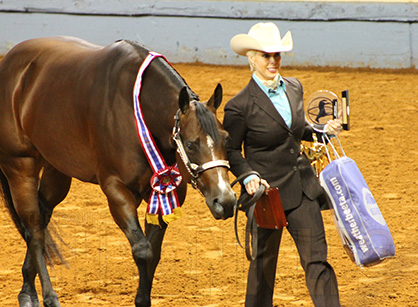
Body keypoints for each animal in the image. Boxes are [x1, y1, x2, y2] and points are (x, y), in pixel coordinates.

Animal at [0, 38, 237, 307]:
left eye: (227, 139)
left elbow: (153, 252)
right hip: (20, 166)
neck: (137, 111)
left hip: (55, 169)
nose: (226, 201)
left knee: (42, 217)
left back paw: (27, 291)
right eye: (190, 144)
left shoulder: (164, 192)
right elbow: (142, 250)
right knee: (35, 231)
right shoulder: (116, 190)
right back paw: (47, 297)